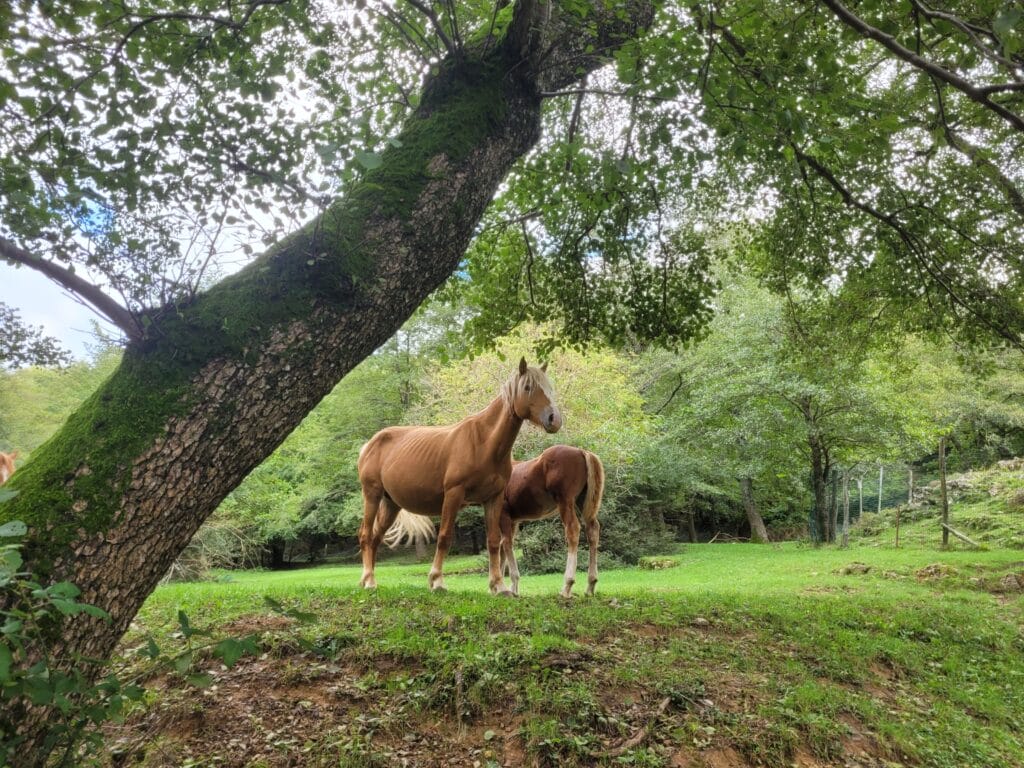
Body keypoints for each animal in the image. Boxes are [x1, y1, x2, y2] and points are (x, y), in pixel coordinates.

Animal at [354, 360, 561, 593]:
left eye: (549, 386)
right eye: (527, 387)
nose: (554, 419)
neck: (483, 442)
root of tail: (369, 445)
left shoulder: (493, 498)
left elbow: (493, 541)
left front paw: (498, 585)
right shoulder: (453, 495)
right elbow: (445, 537)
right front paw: (437, 581)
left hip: (391, 504)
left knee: (375, 538)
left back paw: (367, 579)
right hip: (372, 495)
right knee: (366, 535)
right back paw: (369, 581)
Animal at [387, 444, 602, 602]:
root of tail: (582, 452)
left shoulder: (505, 516)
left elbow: (505, 545)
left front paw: (510, 587)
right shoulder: (513, 521)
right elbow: (502, 548)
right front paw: (500, 587)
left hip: (565, 501)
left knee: (573, 530)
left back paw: (567, 586)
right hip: (583, 504)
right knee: (593, 532)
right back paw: (590, 585)